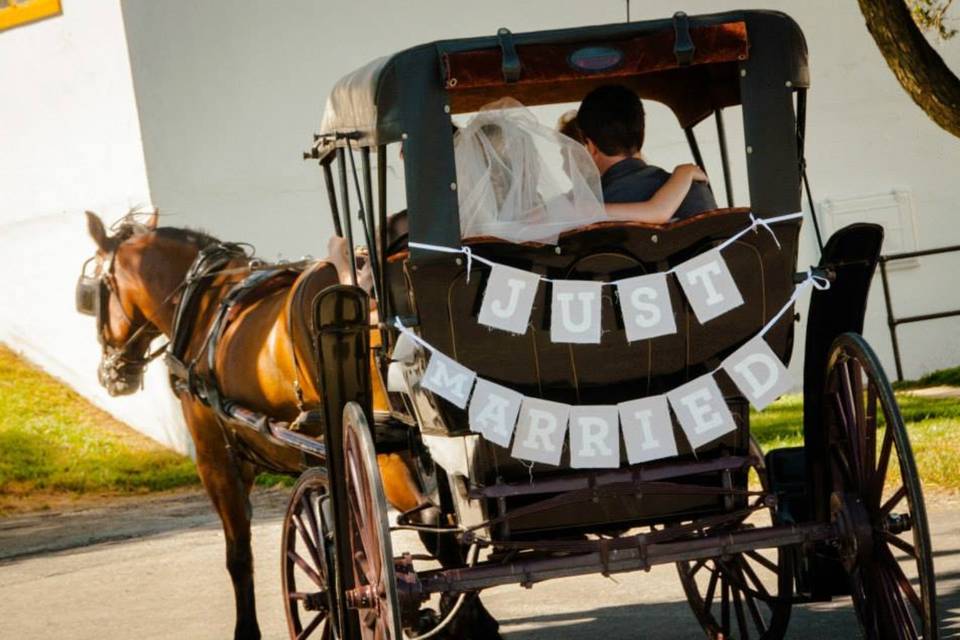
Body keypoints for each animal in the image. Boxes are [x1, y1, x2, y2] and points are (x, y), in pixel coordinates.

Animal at [80, 212, 502, 636]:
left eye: (92, 293)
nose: (109, 374)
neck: (204, 307)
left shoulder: (216, 459)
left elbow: (240, 553)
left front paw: (249, 629)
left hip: (383, 444)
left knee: (428, 517)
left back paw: (456, 614)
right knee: (444, 521)